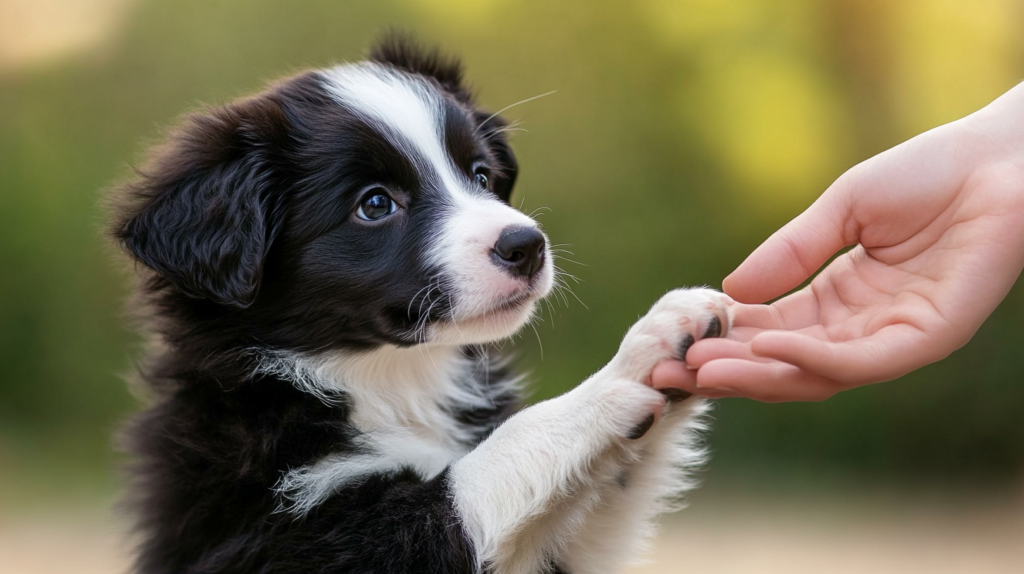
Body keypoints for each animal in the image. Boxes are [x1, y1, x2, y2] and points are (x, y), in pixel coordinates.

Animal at [112, 35, 733, 572]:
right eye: (375, 204)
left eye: (480, 175)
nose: (527, 245)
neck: (391, 379)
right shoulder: (297, 534)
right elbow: (486, 467)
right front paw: (606, 390)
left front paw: (662, 339)